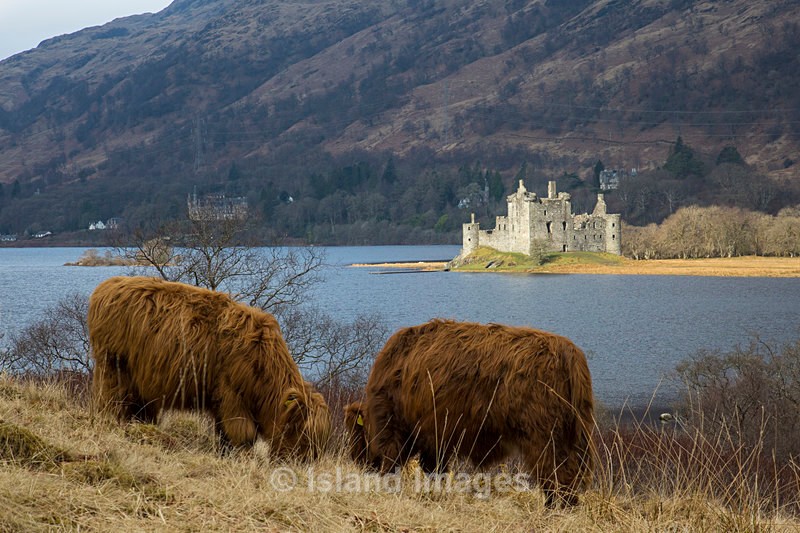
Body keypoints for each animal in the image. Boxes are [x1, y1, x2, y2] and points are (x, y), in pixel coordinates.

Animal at [89, 276, 330, 457]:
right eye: (299, 431)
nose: (303, 461)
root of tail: (106, 287)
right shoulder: (232, 396)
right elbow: (242, 434)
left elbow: (225, 432)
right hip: (114, 368)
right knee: (113, 402)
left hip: (142, 381)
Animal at [344, 319, 594, 507]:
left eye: (357, 433)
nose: (358, 462)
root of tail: (569, 352)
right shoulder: (436, 436)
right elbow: (436, 470)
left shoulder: (396, 429)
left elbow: (393, 465)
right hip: (571, 437)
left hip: (544, 439)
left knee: (557, 476)